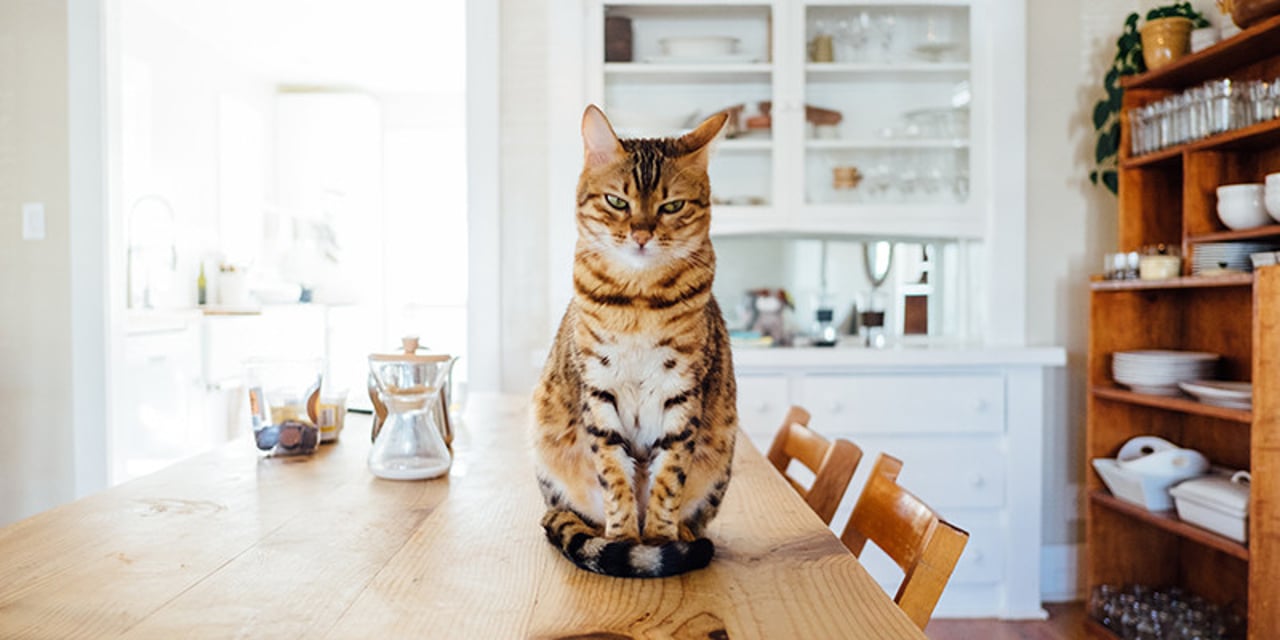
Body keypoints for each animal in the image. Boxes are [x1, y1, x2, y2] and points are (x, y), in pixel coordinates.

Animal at [532, 106, 742, 581]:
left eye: (672, 206)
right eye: (617, 201)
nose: (641, 234)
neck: (639, 301)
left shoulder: (682, 392)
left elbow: (669, 479)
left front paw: (660, 540)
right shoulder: (598, 389)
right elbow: (614, 476)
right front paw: (625, 539)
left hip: (721, 455)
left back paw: (684, 536)